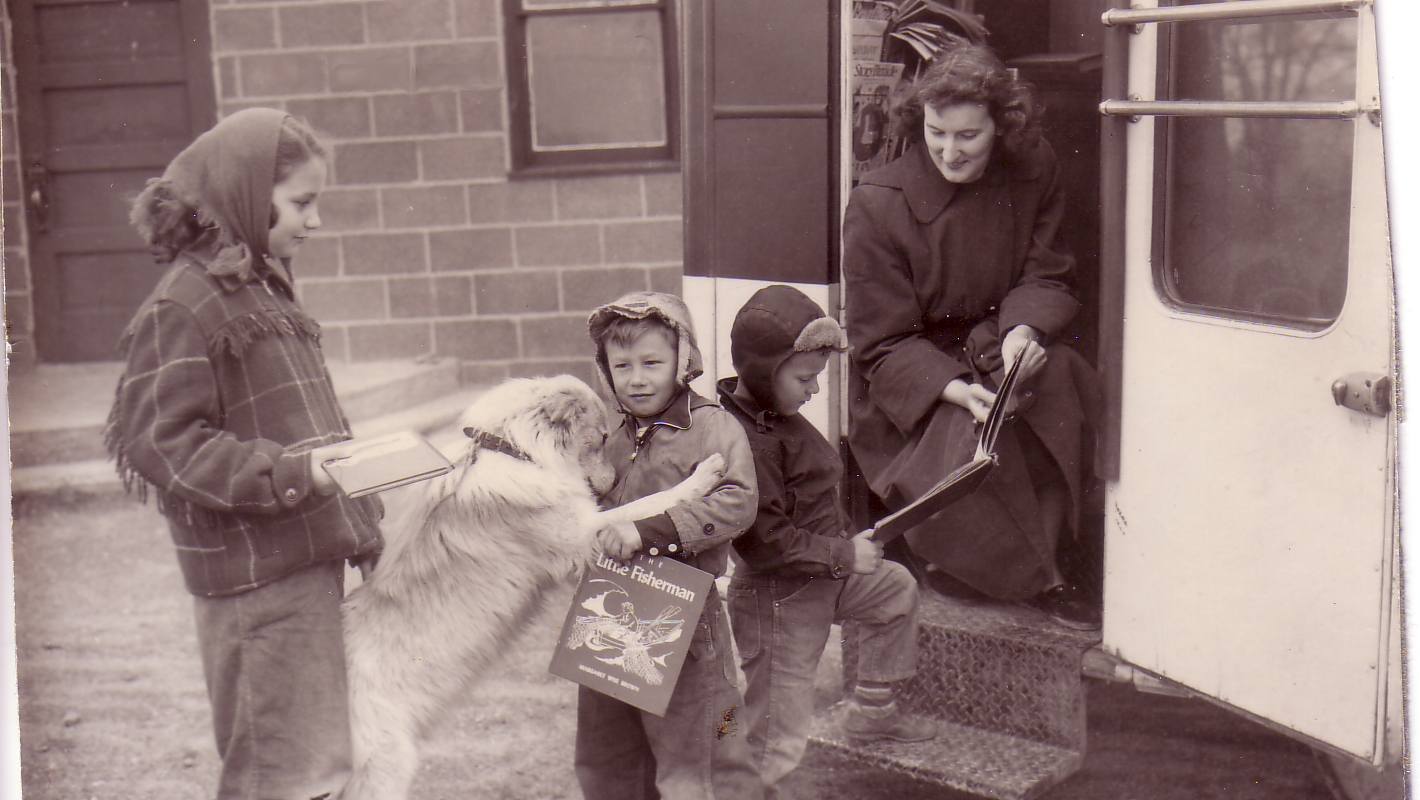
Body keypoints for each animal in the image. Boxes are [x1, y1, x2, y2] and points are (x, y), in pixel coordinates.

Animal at [337, 375, 727, 800]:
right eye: (603, 436)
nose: (613, 482)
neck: (513, 449)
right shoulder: (585, 533)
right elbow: (649, 503)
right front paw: (705, 474)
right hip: (385, 767)